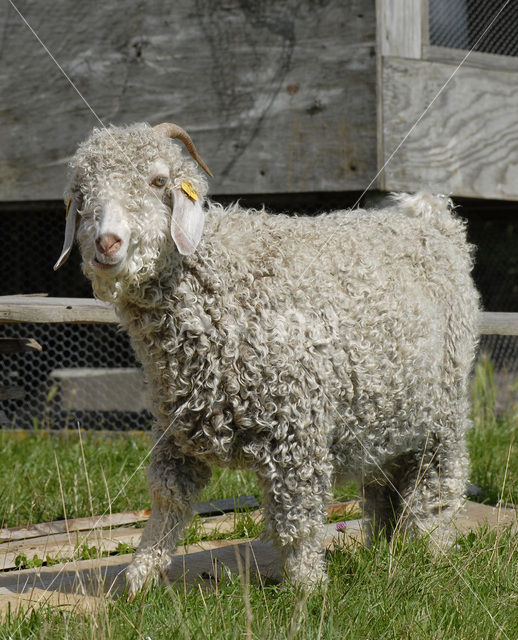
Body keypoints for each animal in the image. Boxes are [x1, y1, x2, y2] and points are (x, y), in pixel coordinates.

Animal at [54, 121, 482, 596]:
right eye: (81, 192)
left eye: (158, 181)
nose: (107, 243)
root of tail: (429, 218)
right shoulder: (177, 428)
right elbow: (168, 499)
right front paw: (139, 580)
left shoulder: (297, 428)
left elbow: (295, 517)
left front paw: (308, 589)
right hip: (385, 408)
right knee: (382, 482)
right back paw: (385, 548)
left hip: (444, 405)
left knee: (438, 479)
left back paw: (430, 551)